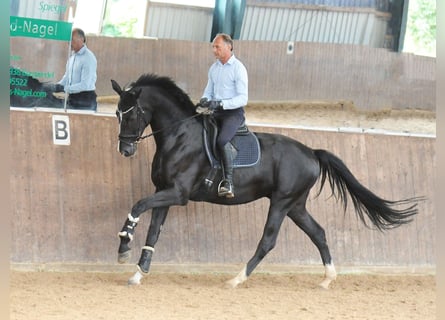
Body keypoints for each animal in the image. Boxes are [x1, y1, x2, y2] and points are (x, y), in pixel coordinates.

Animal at [111, 74, 420, 288]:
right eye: (116, 112)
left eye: (134, 112)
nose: (125, 150)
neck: (180, 136)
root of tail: (311, 152)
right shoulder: (164, 191)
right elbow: (154, 231)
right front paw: (139, 272)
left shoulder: (178, 193)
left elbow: (138, 206)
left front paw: (124, 246)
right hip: (295, 205)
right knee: (318, 233)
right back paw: (326, 279)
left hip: (282, 202)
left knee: (268, 241)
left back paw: (237, 279)